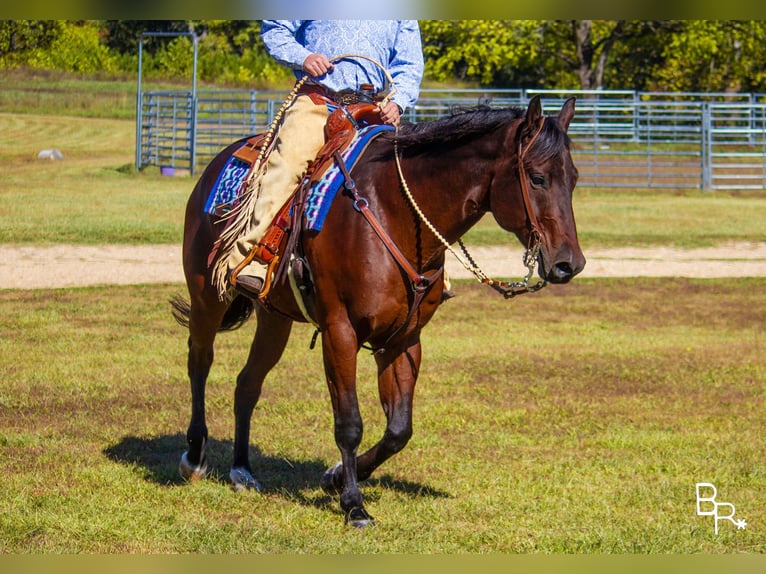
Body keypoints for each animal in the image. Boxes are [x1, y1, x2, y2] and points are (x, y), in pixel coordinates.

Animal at [171, 93, 584, 528]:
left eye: (573, 178)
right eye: (537, 178)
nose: (569, 264)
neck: (393, 212)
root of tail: (217, 164)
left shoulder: (402, 339)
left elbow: (399, 429)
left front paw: (336, 477)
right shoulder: (340, 331)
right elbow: (349, 423)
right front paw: (353, 503)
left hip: (274, 317)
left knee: (247, 383)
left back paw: (242, 470)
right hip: (207, 296)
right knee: (199, 361)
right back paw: (194, 456)